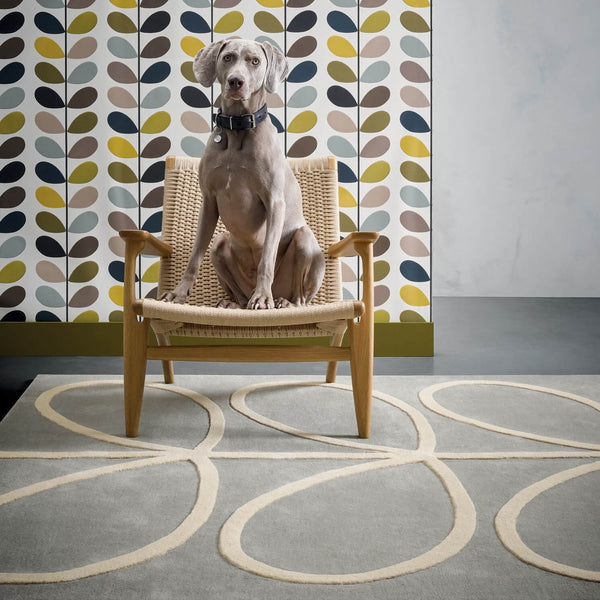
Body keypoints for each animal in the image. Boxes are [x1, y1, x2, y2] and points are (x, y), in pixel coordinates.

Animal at [161, 38, 324, 310]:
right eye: (227, 57)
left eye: (254, 61)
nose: (236, 82)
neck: (237, 128)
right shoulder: (209, 201)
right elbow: (194, 257)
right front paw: (179, 293)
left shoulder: (274, 202)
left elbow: (267, 256)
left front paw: (263, 297)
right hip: (220, 244)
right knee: (238, 290)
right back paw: (235, 304)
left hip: (304, 240)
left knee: (301, 297)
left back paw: (281, 301)